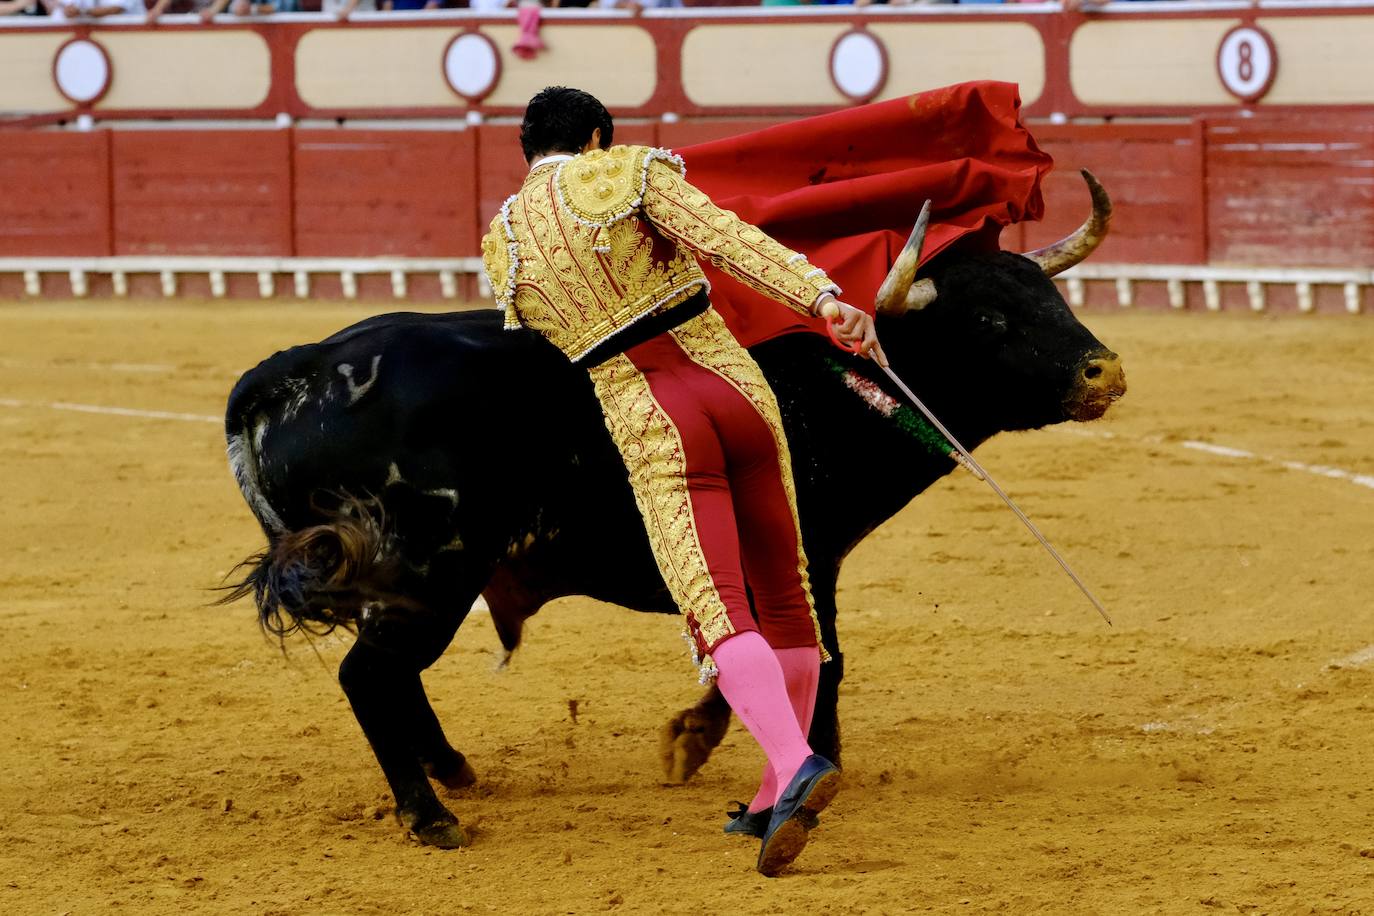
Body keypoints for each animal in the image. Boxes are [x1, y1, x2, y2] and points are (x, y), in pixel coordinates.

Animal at [222, 173, 1126, 851]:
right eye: (990, 318)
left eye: (1052, 297)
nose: (1105, 372)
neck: (827, 387)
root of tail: (298, 366)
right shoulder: (806, 552)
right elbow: (817, 654)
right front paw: (791, 760)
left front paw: (700, 741)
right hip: (431, 569)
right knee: (371, 675)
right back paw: (432, 816)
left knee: (393, 676)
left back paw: (453, 771)